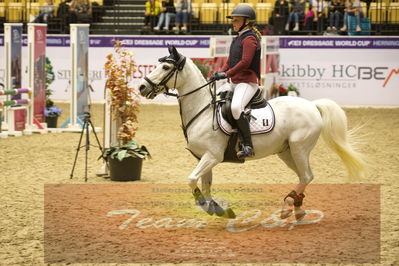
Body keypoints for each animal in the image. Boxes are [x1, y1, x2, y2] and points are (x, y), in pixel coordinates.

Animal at [139, 45, 368, 219]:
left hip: (299, 148)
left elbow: (191, 180)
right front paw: (216, 208)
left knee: (307, 175)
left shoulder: (212, 156)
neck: (202, 109)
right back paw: (294, 207)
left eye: (166, 66)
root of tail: (312, 105)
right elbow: (205, 183)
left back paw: (290, 204)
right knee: (304, 176)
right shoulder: (204, 157)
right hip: (286, 152)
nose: (142, 87)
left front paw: (205, 203)